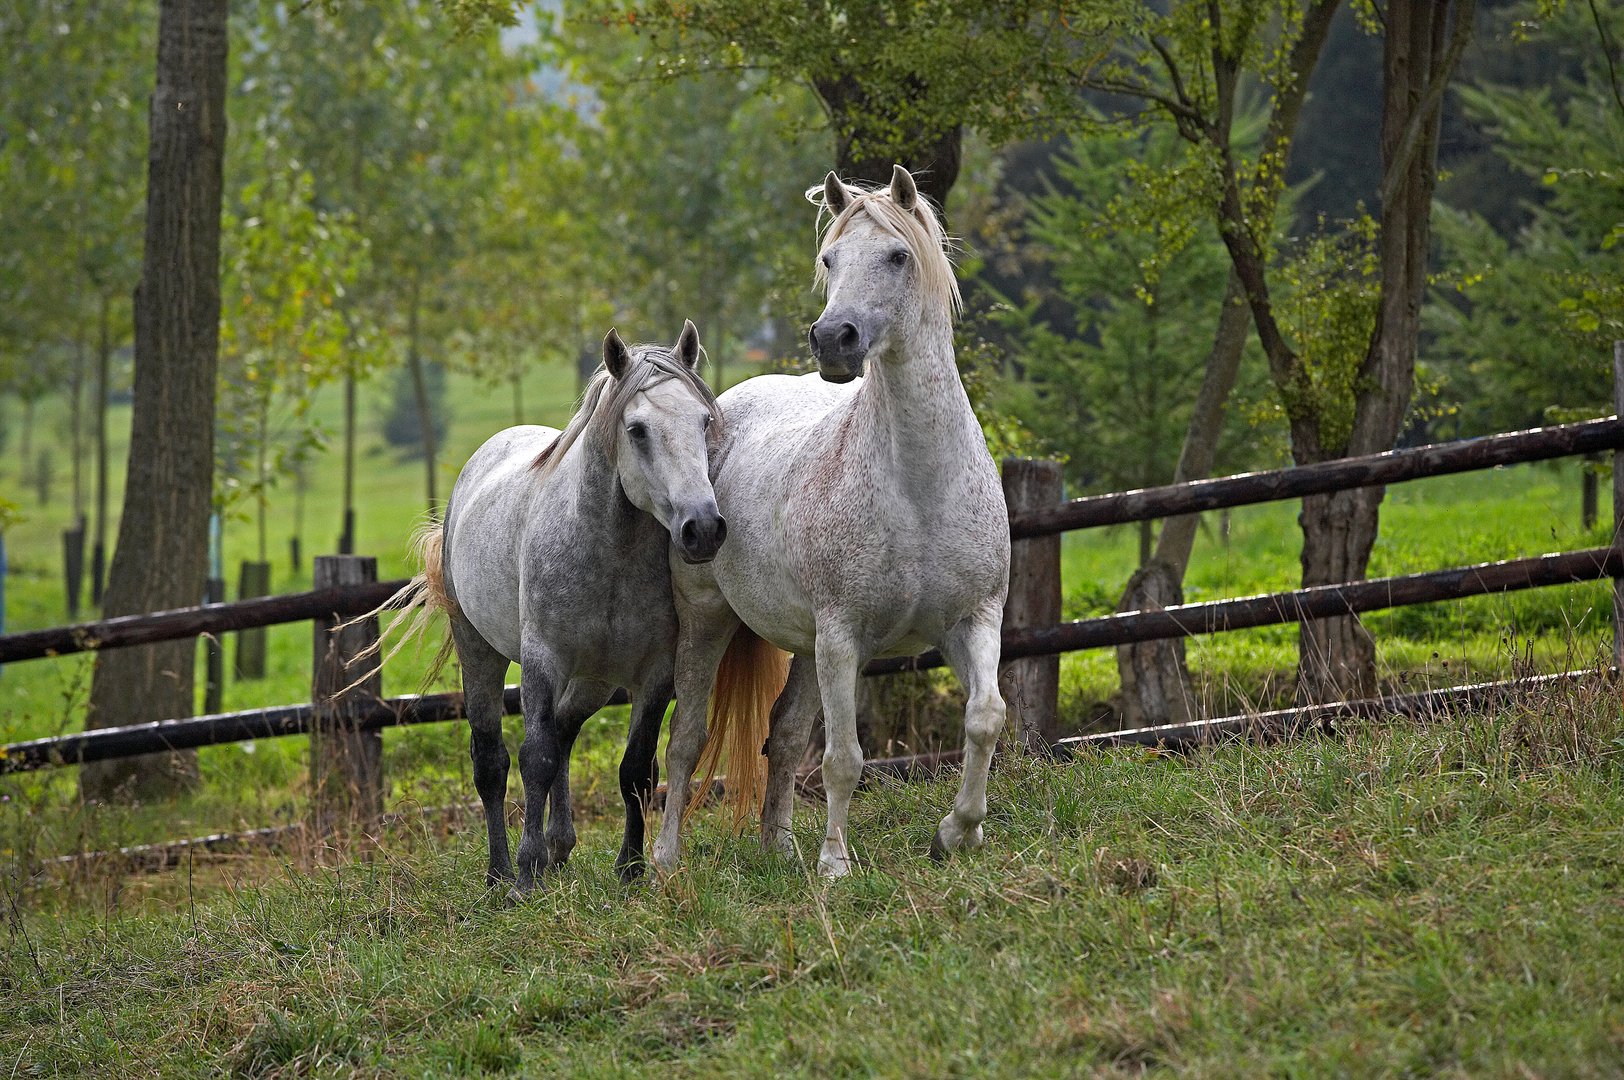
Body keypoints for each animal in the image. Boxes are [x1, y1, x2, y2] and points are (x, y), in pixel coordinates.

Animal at [375, 322, 728, 892]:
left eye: (702, 421)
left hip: (593, 680)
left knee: (564, 731)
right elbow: (533, 758)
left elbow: (635, 769)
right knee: (493, 760)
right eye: (637, 430)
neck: (609, 553)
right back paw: (501, 873)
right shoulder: (543, 661)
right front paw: (524, 872)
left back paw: (558, 848)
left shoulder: (655, 673)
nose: (703, 528)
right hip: (481, 651)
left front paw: (630, 870)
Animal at [653, 166, 1011, 878]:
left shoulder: (973, 619)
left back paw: (779, 846)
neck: (920, 489)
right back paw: (666, 861)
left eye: (897, 256)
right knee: (686, 741)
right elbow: (844, 759)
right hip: (710, 621)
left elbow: (985, 716)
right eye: (829, 259)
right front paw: (836, 865)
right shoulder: (844, 637)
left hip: (806, 646)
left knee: (785, 735)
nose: (832, 339)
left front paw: (959, 833)